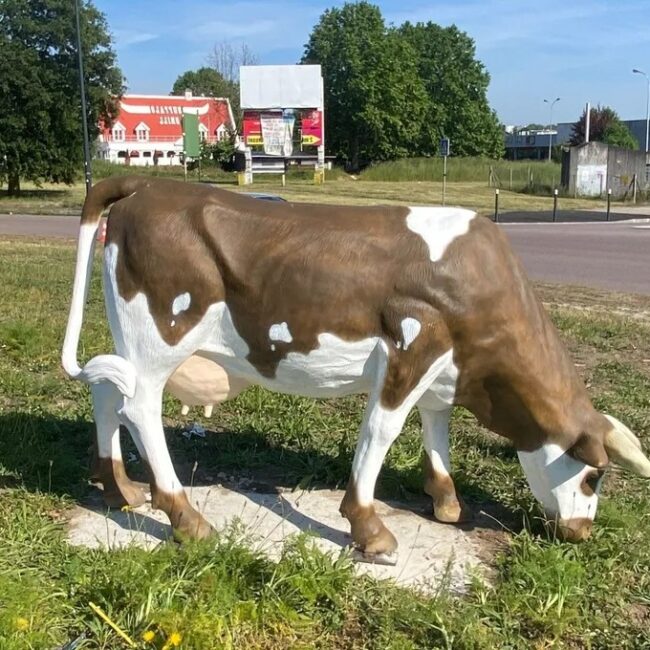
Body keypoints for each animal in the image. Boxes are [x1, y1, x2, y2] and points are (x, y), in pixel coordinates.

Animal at [62, 176, 650, 563]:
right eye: (594, 476)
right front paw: (368, 526)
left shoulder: (443, 368)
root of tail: (148, 184)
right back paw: (186, 518)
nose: (581, 532)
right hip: (161, 337)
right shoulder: (413, 343)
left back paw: (118, 488)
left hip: (134, 342)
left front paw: (446, 501)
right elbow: (382, 432)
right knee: (140, 406)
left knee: (108, 391)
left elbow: (436, 426)